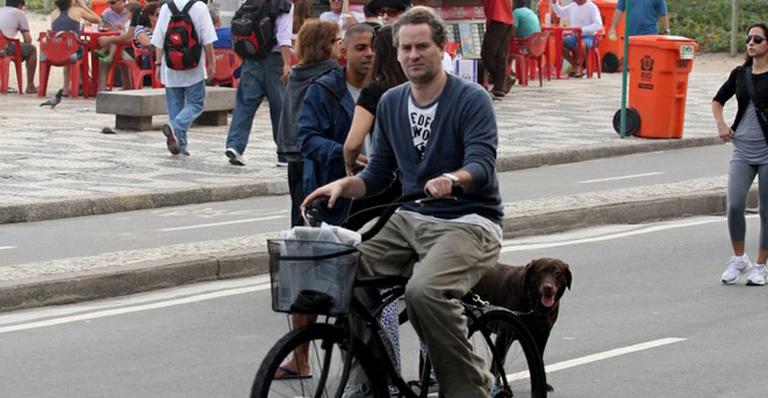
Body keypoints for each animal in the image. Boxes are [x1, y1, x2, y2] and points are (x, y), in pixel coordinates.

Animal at [472, 258, 572, 392]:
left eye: (557, 272)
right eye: (540, 272)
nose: (548, 288)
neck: (534, 306)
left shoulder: (542, 336)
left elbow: (540, 359)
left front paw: (543, 384)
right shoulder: (504, 336)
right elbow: (498, 363)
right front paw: (497, 387)